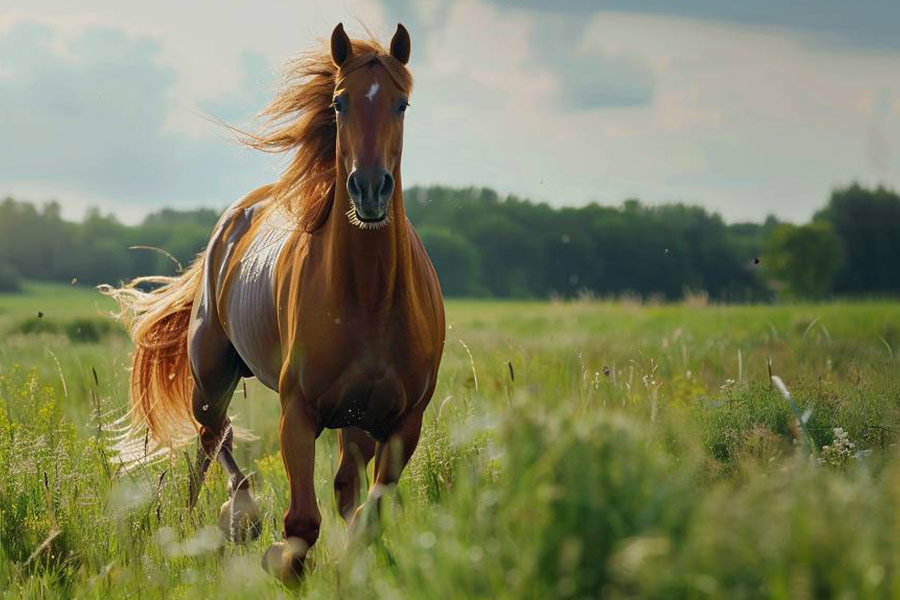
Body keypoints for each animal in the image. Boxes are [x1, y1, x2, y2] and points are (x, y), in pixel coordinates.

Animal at [102, 23, 445, 583]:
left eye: (402, 105)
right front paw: (279, 557)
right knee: (212, 437)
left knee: (338, 482)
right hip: (211, 376)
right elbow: (302, 522)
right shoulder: (298, 412)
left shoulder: (403, 422)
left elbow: (367, 514)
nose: (370, 190)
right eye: (340, 102)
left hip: (354, 419)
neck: (370, 296)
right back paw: (231, 515)